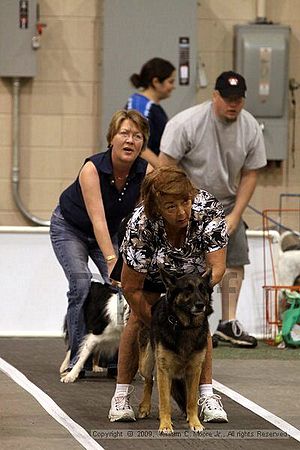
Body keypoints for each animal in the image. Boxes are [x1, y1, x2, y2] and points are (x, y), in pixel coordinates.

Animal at [138, 268, 213, 434]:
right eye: (187, 289)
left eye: (202, 289)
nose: (200, 305)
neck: (185, 327)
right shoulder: (164, 371)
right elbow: (165, 401)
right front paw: (165, 425)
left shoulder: (194, 371)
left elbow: (191, 401)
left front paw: (195, 423)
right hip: (147, 363)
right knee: (148, 381)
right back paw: (145, 407)